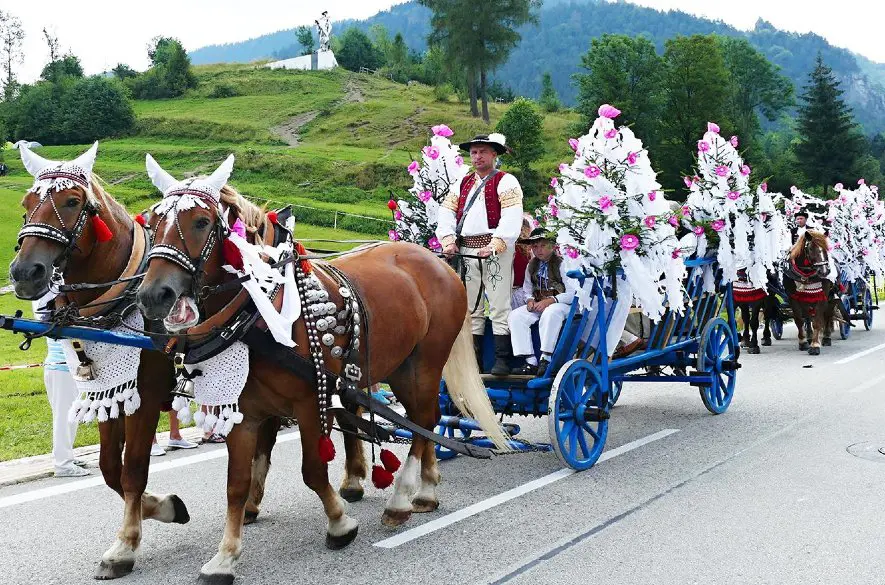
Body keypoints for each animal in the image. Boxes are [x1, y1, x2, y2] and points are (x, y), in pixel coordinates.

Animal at [6, 145, 280, 580]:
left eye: (72, 201)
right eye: (27, 203)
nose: (24, 273)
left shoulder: (147, 397)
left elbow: (133, 468)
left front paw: (126, 544)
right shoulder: (110, 394)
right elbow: (108, 468)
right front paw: (163, 507)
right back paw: (251, 504)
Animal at [134, 156, 508, 584]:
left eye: (200, 222)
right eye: (152, 220)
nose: (153, 295)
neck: (258, 312)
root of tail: (439, 261)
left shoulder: (310, 402)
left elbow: (313, 470)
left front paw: (340, 524)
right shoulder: (246, 414)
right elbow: (236, 484)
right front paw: (225, 556)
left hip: (424, 364)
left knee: (422, 422)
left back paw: (401, 499)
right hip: (400, 367)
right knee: (423, 420)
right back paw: (426, 490)